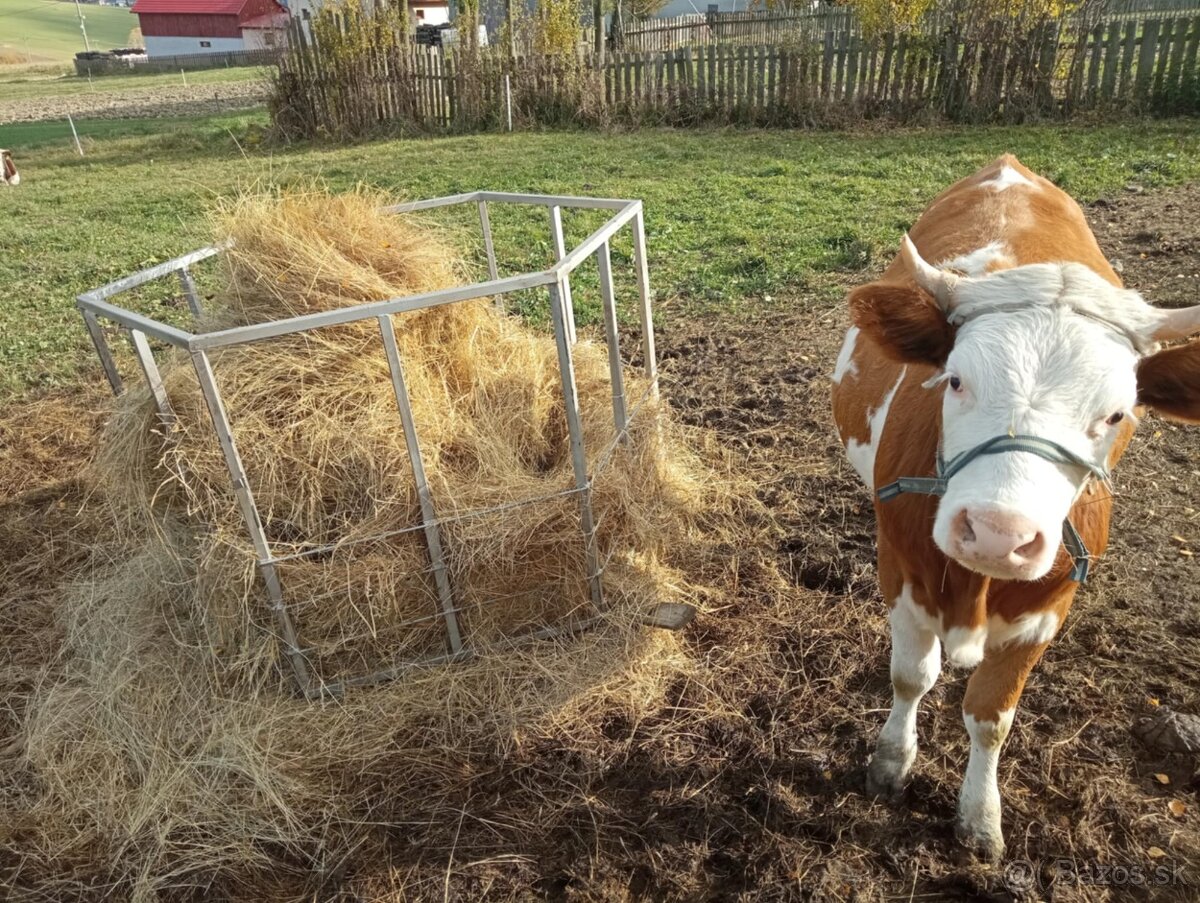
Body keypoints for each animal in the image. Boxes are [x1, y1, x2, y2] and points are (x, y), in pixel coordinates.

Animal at [835, 154, 1200, 859]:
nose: (997, 534)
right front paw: (891, 762)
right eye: (954, 379)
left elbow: (991, 716)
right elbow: (911, 675)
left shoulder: (1049, 607)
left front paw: (981, 818)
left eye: (1118, 414)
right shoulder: (900, 570)